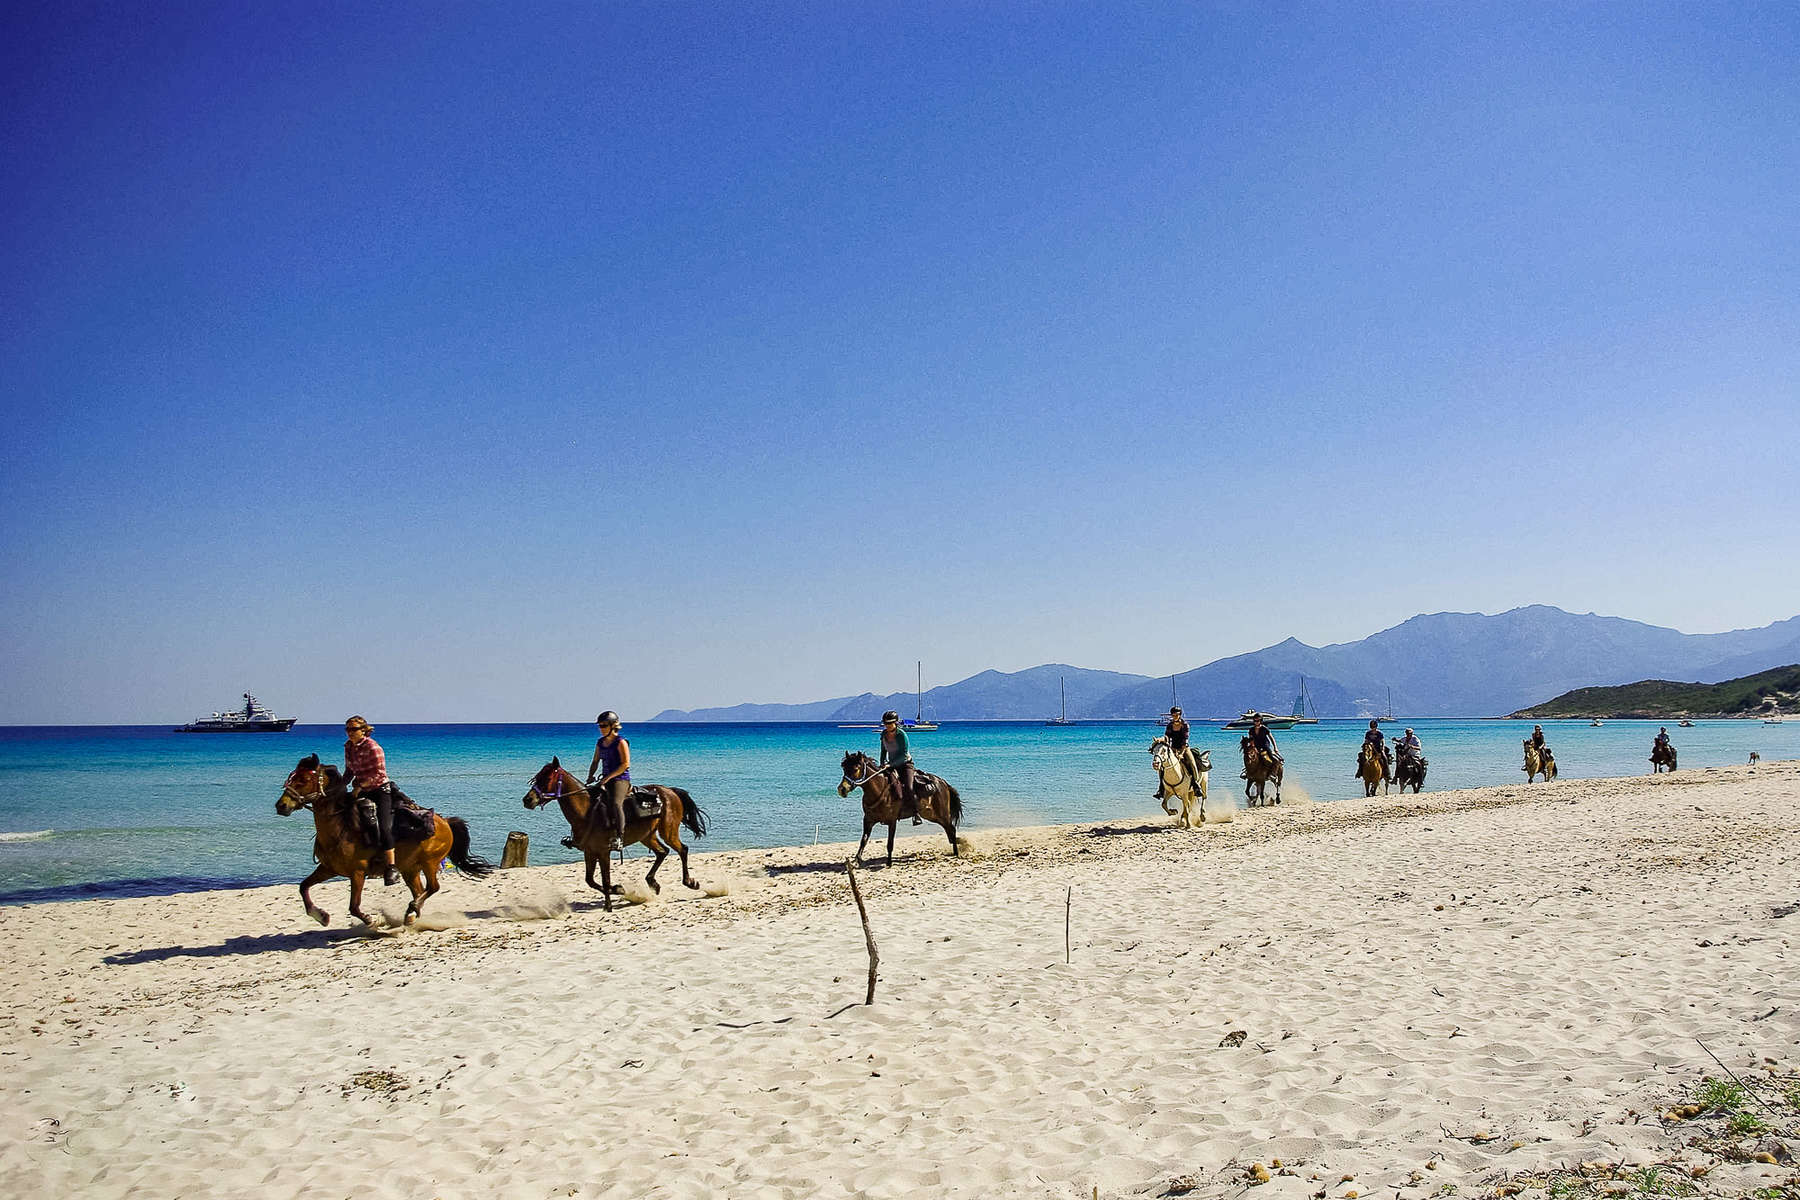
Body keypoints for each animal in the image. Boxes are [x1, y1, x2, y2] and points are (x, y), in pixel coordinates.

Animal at [270, 755, 493, 935]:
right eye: (292, 777)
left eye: (304, 780)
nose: (281, 805)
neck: (341, 826)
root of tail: (445, 821)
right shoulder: (327, 869)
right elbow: (303, 887)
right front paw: (322, 916)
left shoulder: (357, 873)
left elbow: (354, 906)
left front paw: (371, 921)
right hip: (410, 869)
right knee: (420, 891)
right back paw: (411, 915)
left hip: (429, 862)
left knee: (433, 887)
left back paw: (411, 912)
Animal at [522, 759, 709, 910]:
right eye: (537, 777)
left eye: (547, 779)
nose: (527, 800)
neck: (587, 811)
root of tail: (669, 791)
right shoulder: (589, 852)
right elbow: (590, 880)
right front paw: (618, 889)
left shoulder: (604, 851)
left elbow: (605, 879)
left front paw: (609, 904)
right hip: (646, 836)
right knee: (662, 852)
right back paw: (653, 883)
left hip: (668, 831)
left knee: (682, 849)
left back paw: (690, 882)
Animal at [835, 752, 964, 863]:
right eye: (844, 768)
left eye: (855, 769)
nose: (842, 789)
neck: (879, 788)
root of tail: (943, 782)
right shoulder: (868, 820)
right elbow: (864, 840)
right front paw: (857, 860)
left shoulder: (892, 821)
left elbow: (890, 843)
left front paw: (889, 863)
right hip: (931, 815)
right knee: (949, 830)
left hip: (942, 814)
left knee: (952, 829)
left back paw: (957, 852)